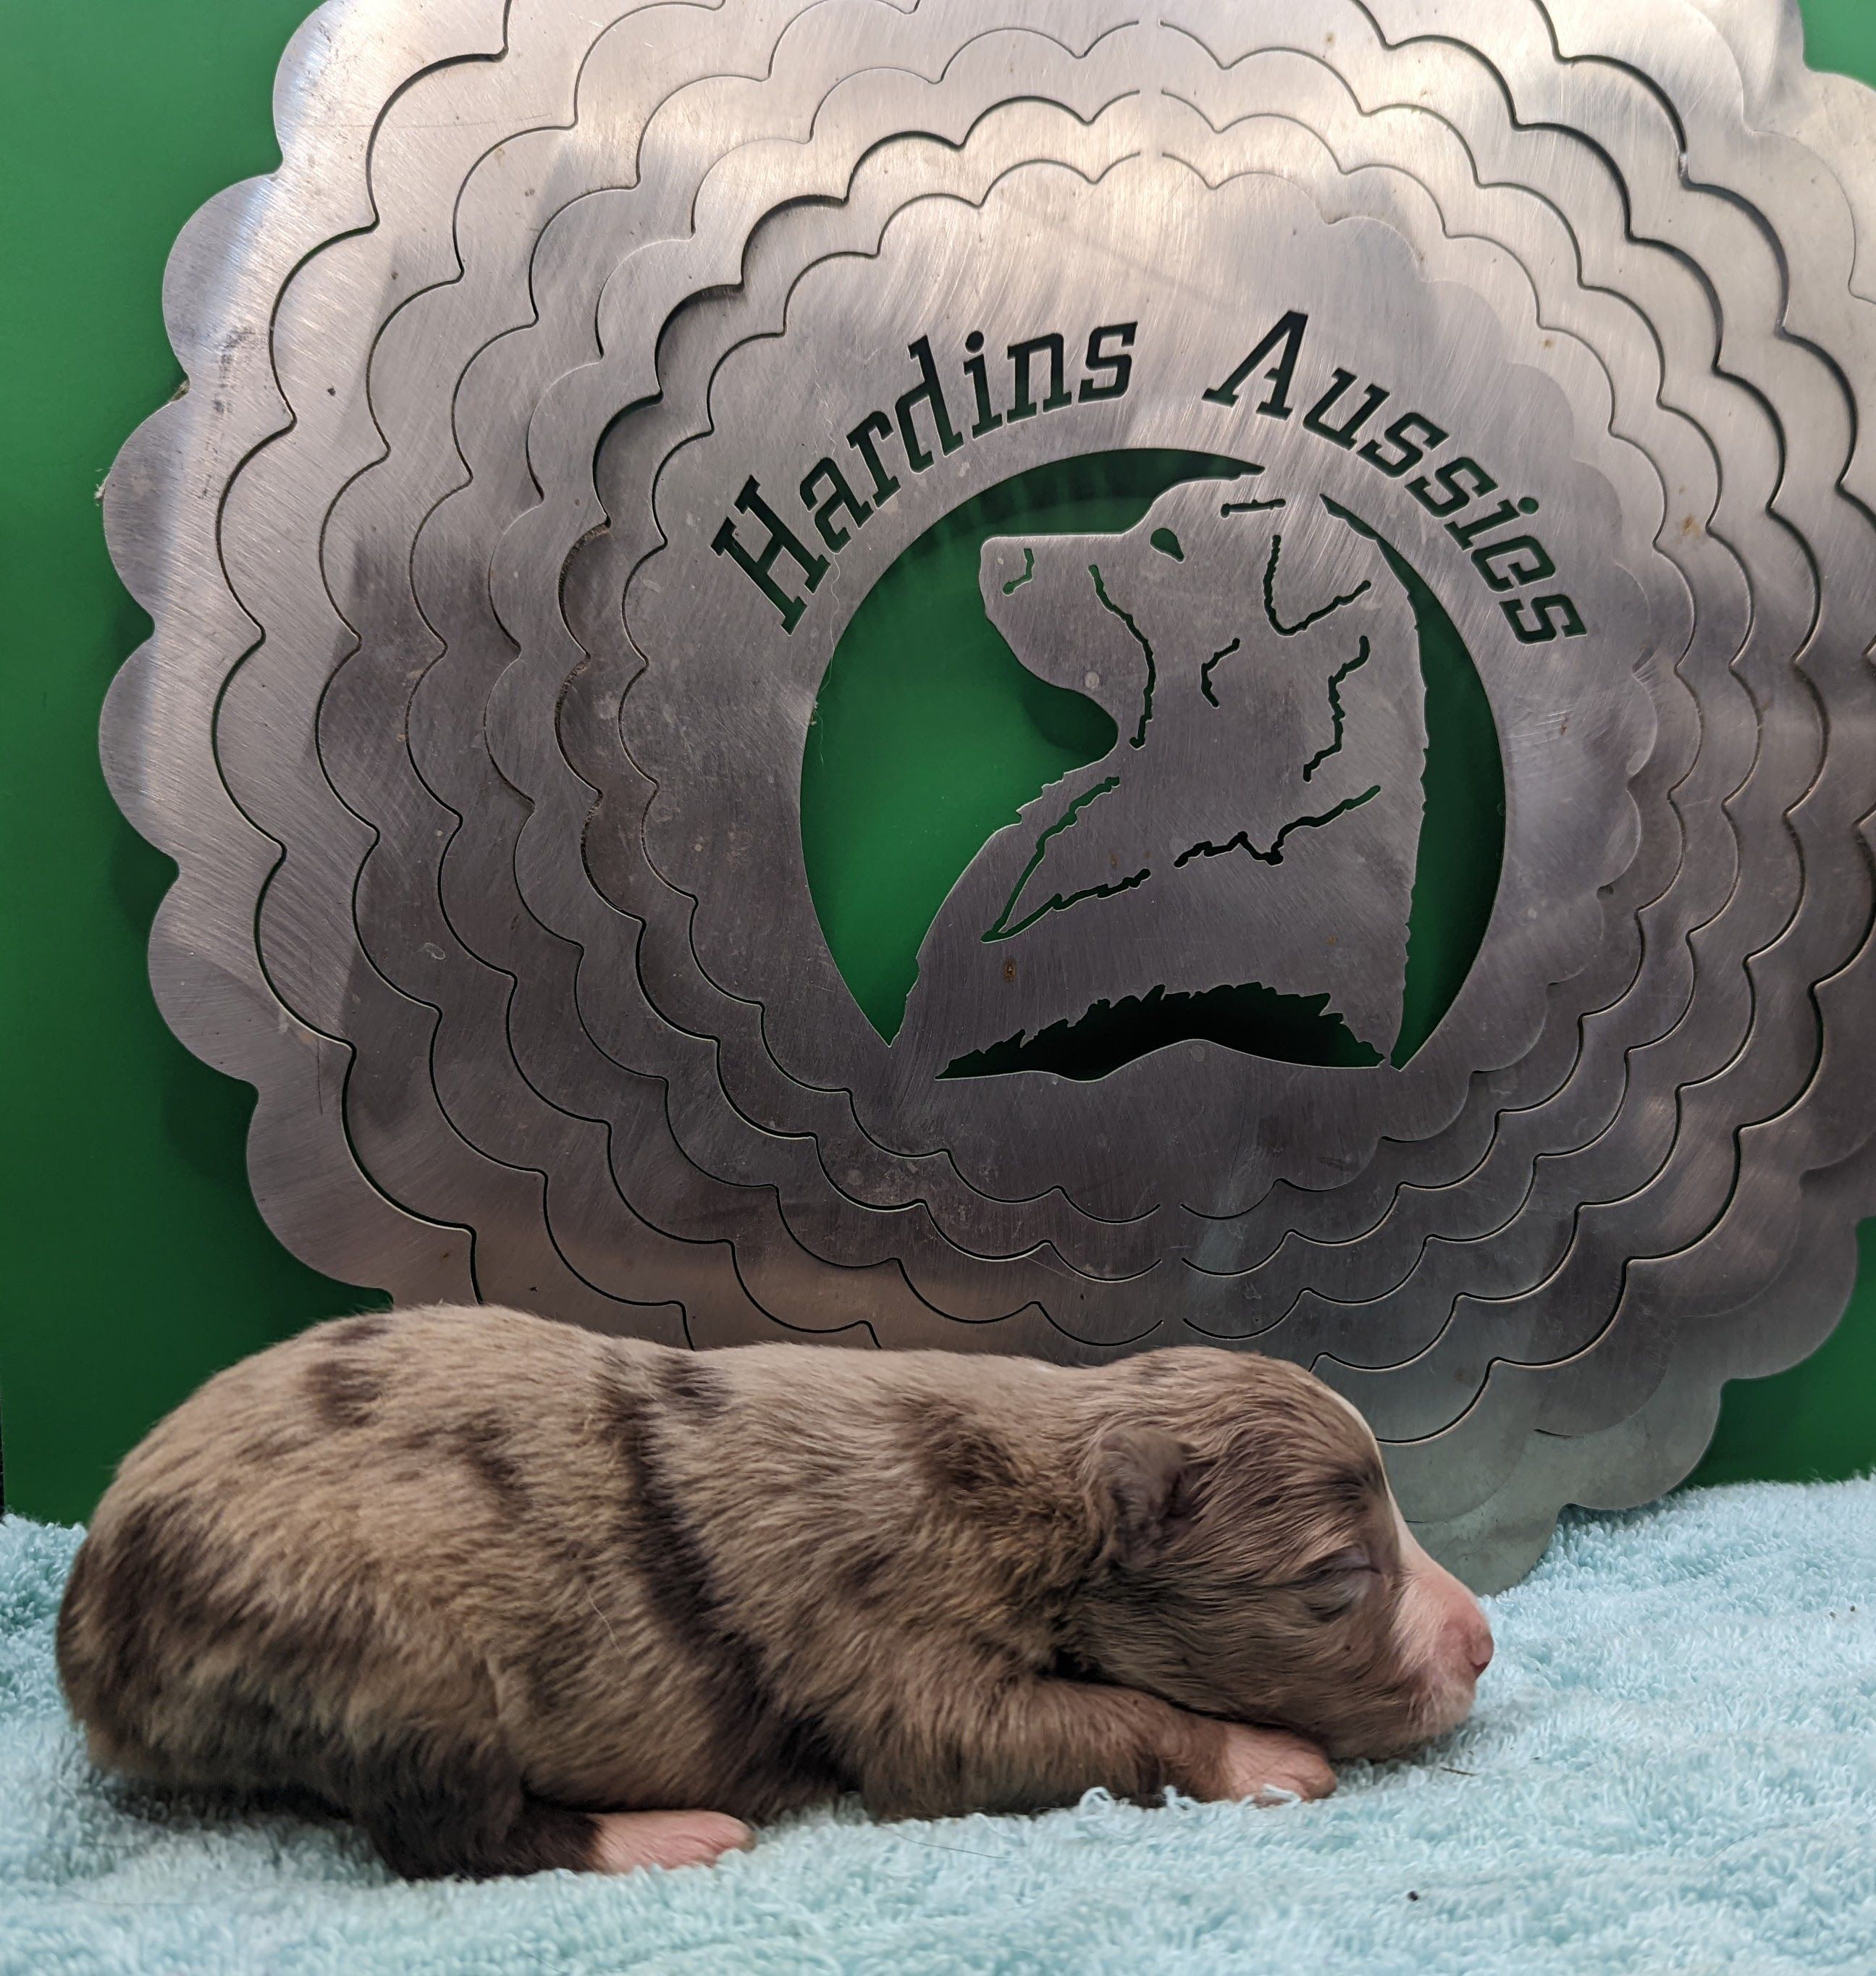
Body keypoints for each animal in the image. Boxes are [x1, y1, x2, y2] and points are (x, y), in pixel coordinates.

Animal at [56, 1305, 1492, 1880]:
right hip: (390, 1655)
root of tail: (89, 1632)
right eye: (1338, 1576)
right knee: (443, 1828)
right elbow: (1045, 1727)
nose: (1484, 1640)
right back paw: (664, 1834)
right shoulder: (891, 1633)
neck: (1030, 1474)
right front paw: (1261, 1753)